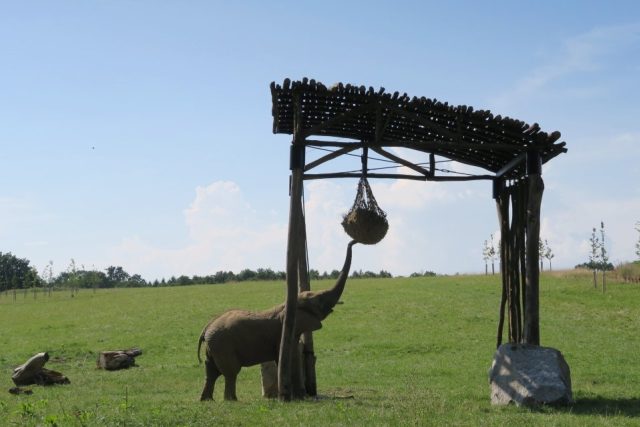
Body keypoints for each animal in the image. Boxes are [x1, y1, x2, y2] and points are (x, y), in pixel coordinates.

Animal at [198, 241, 358, 402]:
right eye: (319, 300)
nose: (353, 242)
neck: (286, 305)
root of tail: (206, 328)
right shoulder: (282, 333)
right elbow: (290, 357)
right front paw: (296, 398)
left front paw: (298, 397)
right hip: (222, 344)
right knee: (230, 372)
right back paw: (232, 400)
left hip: (214, 346)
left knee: (211, 371)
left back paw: (207, 400)